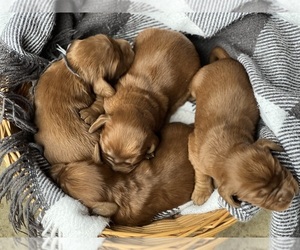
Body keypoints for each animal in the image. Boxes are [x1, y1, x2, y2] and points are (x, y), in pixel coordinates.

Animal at [188, 46, 298, 211]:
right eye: (260, 197)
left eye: (279, 170)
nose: (291, 195)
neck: (228, 151)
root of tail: (223, 60)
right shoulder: (194, 147)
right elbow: (201, 172)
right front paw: (201, 192)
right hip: (196, 82)